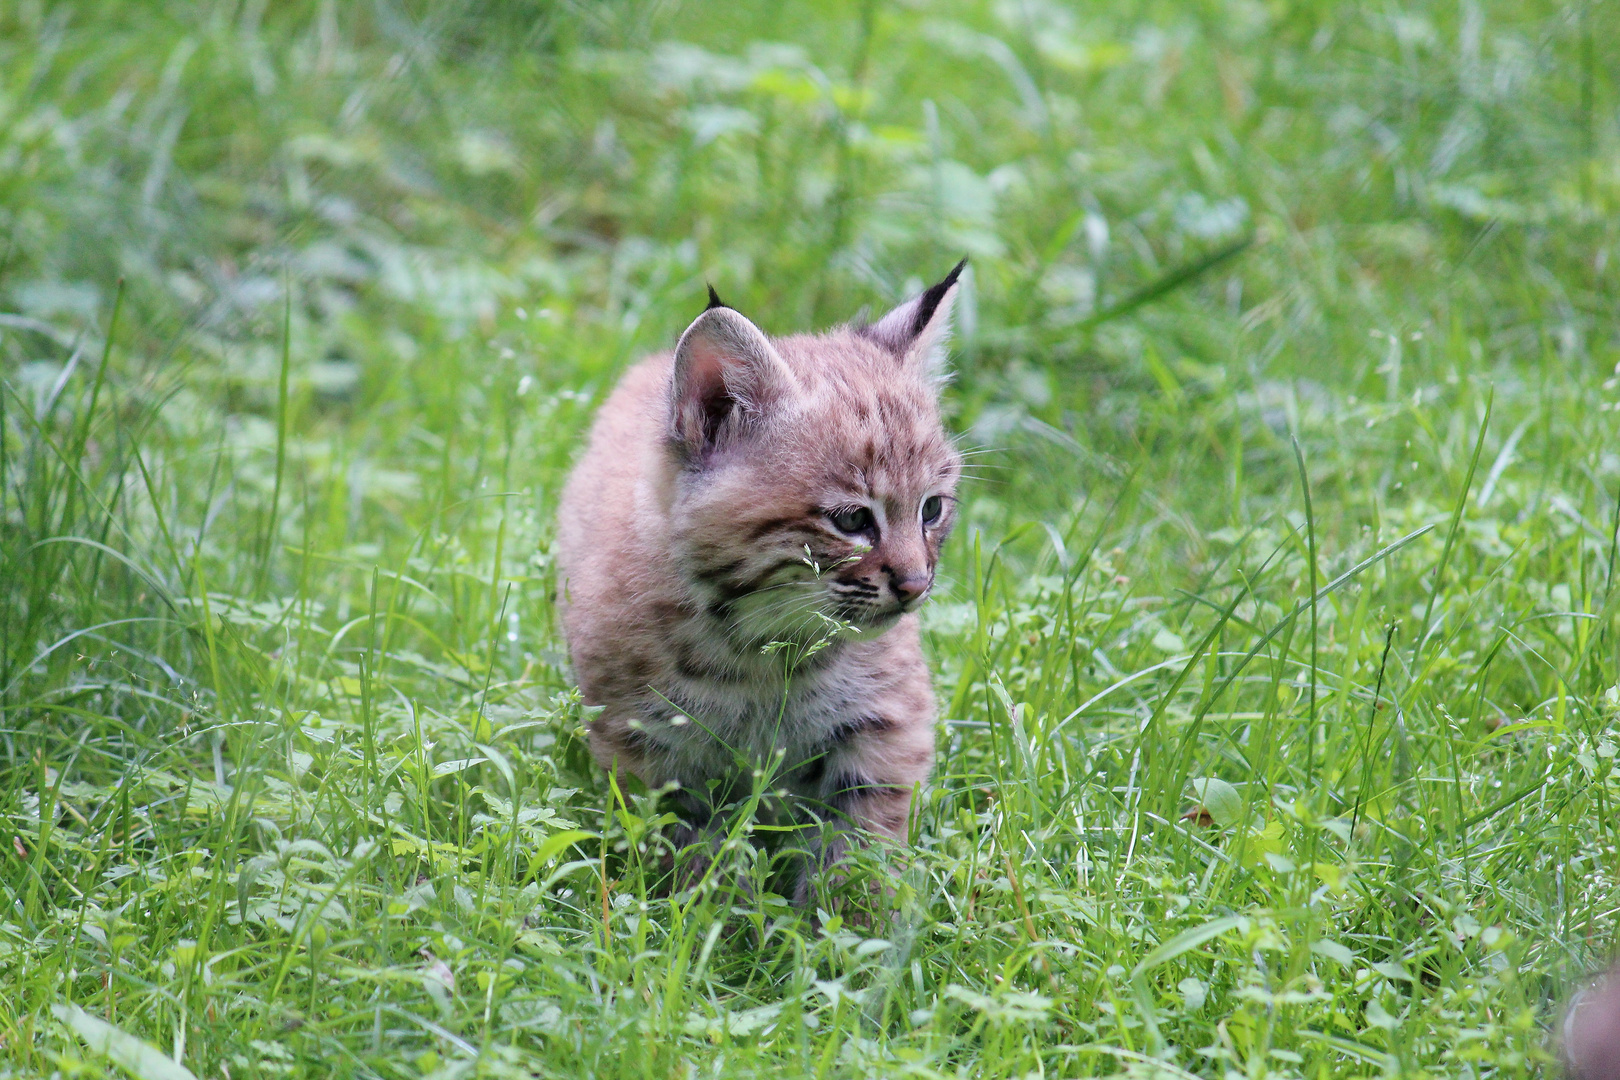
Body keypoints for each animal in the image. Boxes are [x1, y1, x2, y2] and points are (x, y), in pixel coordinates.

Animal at [557, 262, 959, 887]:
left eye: (932, 509)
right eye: (852, 520)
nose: (916, 587)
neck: (764, 647)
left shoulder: (888, 721)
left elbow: (863, 847)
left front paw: (853, 914)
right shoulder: (650, 743)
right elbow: (688, 851)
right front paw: (705, 908)